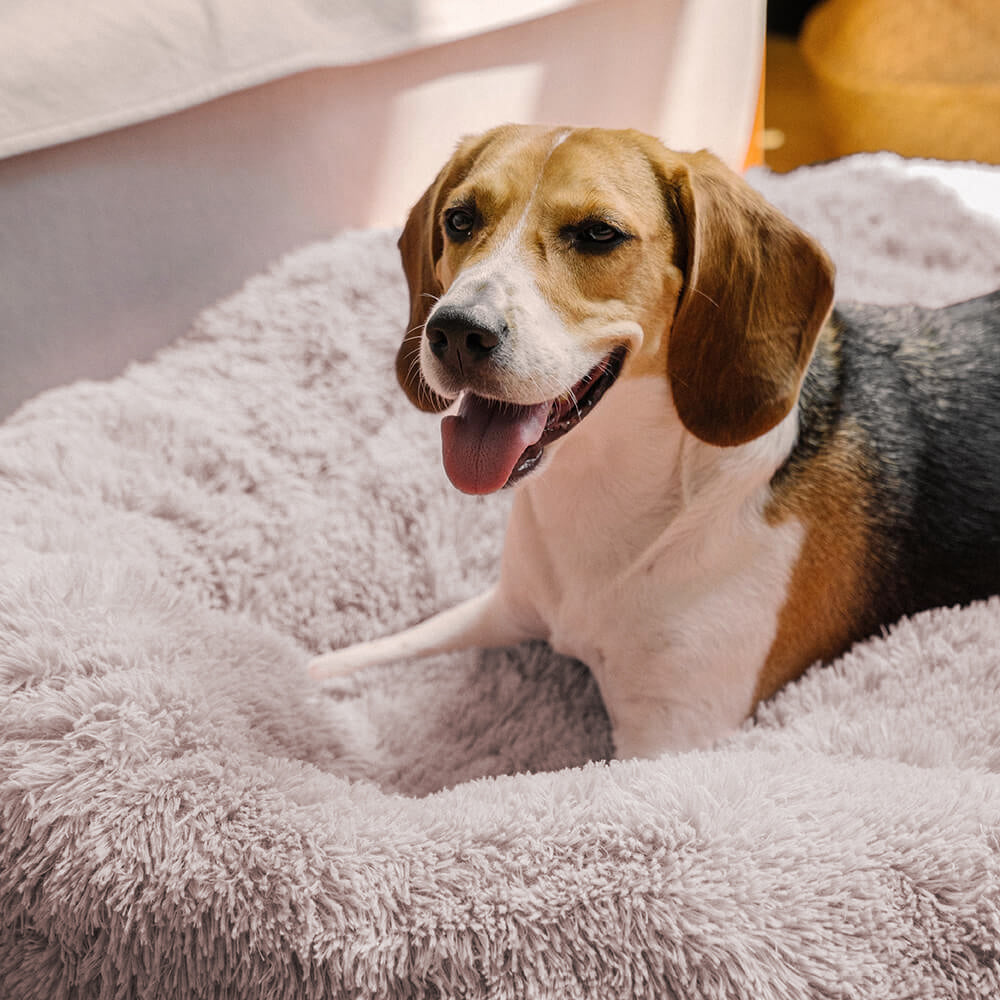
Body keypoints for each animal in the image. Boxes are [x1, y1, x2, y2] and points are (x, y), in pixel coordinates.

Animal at [308, 125, 996, 756]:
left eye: (597, 234)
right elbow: (350, 659)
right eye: (459, 219)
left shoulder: (667, 739)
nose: (454, 331)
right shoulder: (505, 609)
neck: (605, 489)